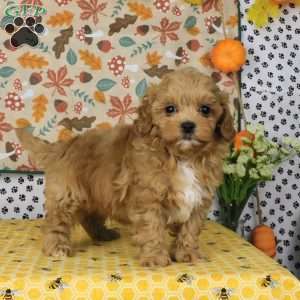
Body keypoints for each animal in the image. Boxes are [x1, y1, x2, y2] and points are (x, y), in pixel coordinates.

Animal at [15, 67, 234, 266]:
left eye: (205, 109)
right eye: (170, 109)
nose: (188, 125)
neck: (182, 157)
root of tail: (63, 145)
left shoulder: (198, 199)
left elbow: (190, 229)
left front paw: (187, 254)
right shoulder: (148, 198)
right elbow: (152, 228)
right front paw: (155, 258)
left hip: (97, 194)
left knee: (90, 217)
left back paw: (103, 234)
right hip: (67, 194)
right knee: (56, 222)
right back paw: (57, 247)